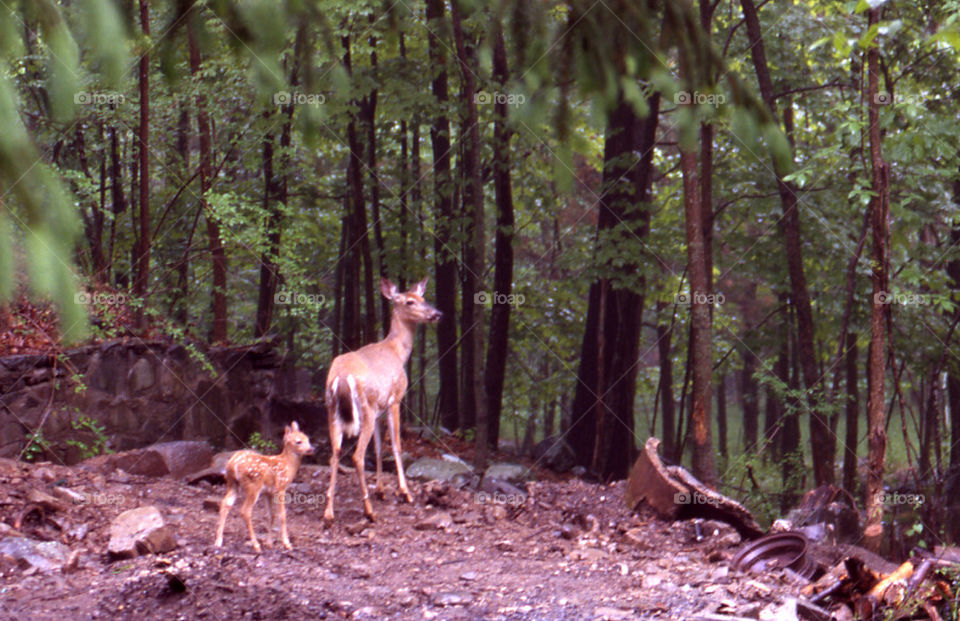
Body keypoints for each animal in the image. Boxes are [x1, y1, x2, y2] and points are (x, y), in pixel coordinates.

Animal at [214, 421, 315, 552]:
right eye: (298, 441)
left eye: (307, 439)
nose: (312, 449)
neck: (287, 465)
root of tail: (232, 464)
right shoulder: (281, 488)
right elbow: (282, 515)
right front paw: (287, 543)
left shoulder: (268, 492)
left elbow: (270, 515)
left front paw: (269, 543)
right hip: (253, 485)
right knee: (245, 511)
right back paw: (256, 545)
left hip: (232, 483)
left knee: (225, 503)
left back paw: (218, 541)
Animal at [324, 277, 442, 522]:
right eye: (409, 301)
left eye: (422, 297)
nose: (437, 314)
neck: (397, 352)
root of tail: (341, 378)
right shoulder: (395, 399)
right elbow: (396, 444)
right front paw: (405, 492)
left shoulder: (379, 408)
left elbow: (378, 448)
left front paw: (381, 491)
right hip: (364, 410)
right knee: (357, 456)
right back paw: (369, 511)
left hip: (333, 411)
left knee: (335, 453)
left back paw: (329, 512)